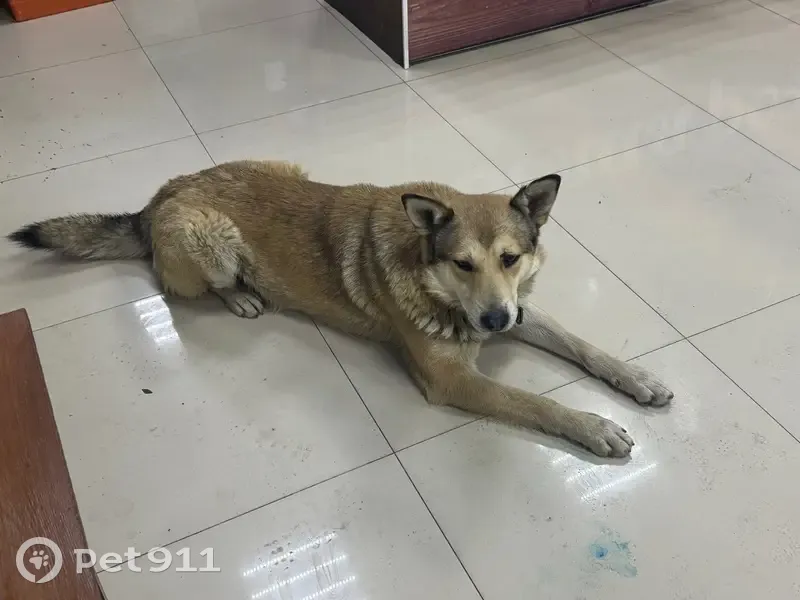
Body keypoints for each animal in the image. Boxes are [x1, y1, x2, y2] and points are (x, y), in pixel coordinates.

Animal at [8, 160, 672, 457]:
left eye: (511, 259)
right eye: (463, 264)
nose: (494, 324)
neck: (427, 274)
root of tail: (156, 198)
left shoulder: (521, 310)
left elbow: (582, 345)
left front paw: (636, 379)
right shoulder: (453, 381)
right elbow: (536, 403)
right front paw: (595, 427)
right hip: (211, 242)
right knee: (183, 288)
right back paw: (242, 295)